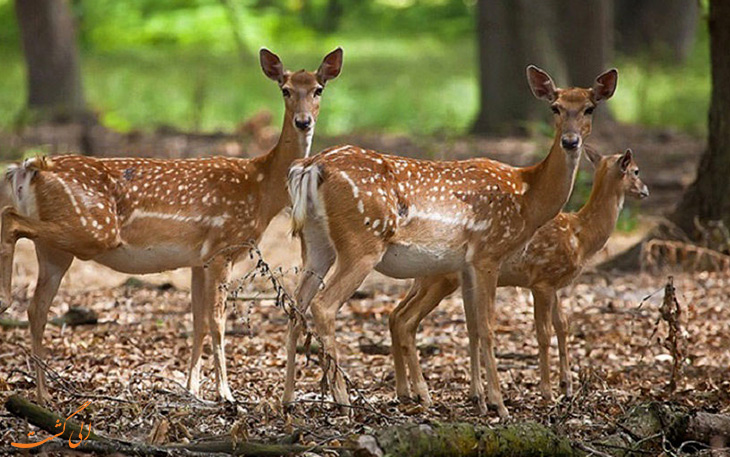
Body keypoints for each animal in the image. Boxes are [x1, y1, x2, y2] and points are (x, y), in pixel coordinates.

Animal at [0, 47, 342, 402]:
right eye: (285, 89)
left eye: (318, 89)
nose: (304, 121)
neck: (262, 189)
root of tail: (29, 168)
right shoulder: (222, 247)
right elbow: (217, 321)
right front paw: (226, 394)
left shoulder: (198, 260)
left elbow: (198, 321)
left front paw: (192, 389)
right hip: (91, 228)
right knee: (10, 219)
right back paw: (5, 301)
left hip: (56, 249)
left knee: (37, 309)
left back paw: (43, 396)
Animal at [284, 65, 616, 416]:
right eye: (555, 107)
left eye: (589, 108)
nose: (570, 141)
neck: (528, 197)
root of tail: (310, 166)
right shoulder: (488, 252)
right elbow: (488, 326)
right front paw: (500, 405)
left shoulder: (466, 265)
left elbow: (473, 327)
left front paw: (481, 400)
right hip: (362, 243)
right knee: (323, 305)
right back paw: (344, 401)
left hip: (315, 242)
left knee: (295, 304)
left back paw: (289, 398)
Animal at [390, 147, 644, 406]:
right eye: (636, 170)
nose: (645, 190)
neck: (581, 236)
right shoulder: (542, 280)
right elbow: (544, 333)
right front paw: (548, 392)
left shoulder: (553, 284)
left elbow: (562, 325)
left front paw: (567, 386)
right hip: (441, 278)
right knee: (405, 319)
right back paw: (422, 393)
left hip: (429, 280)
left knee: (396, 315)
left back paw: (411, 391)